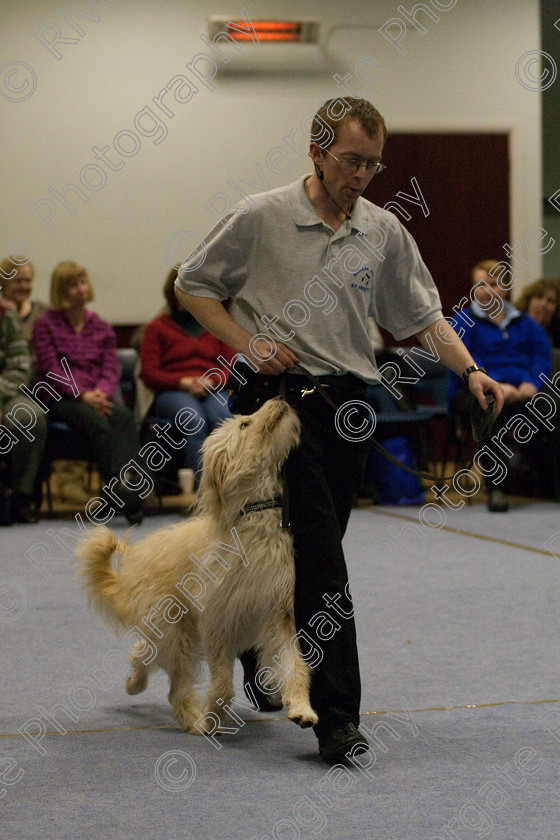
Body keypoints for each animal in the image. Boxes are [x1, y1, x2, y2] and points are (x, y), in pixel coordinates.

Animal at [77, 400, 320, 736]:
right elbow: (222, 685)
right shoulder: (218, 622)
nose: (279, 401)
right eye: (245, 424)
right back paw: (192, 719)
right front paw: (213, 715)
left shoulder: (278, 613)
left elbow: (294, 664)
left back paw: (136, 683)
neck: (252, 517)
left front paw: (301, 708)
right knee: (172, 683)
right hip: (176, 629)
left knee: (145, 652)